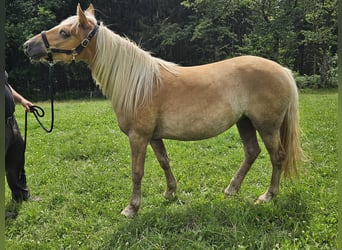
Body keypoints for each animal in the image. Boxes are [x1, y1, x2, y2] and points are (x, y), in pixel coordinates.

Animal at [25, 4, 306, 219]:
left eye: (64, 32)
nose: (28, 46)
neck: (138, 84)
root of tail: (283, 70)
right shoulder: (154, 137)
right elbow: (164, 162)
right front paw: (170, 192)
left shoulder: (138, 136)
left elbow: (137, 171)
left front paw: (131, 208)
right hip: (245, 122)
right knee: (251, 152)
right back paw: (231, 190)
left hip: (267, 126)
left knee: (277, 156)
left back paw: (267, 195)